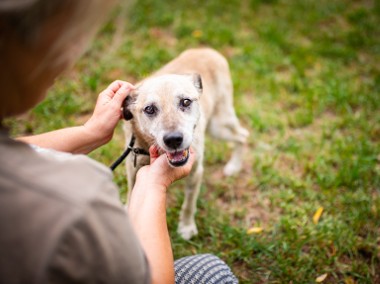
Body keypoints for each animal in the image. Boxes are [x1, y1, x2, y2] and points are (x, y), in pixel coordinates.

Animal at [122, 48, 249, 240]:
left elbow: (189, 204)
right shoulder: (133, 170)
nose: (173, 139)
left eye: (186, 101)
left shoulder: (195, 173)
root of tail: (207, 50)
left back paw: (234, 166)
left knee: (242, 136)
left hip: (219, 125)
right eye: (149, 109)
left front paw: (187, 227)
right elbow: (131, 194)